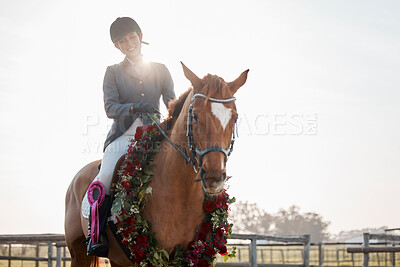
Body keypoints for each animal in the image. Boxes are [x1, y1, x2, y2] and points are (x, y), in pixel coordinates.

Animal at [64, 63, 248, 266]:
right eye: (195, 116)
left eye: (234, 118)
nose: (214, 177)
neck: (182, 195)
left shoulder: (197, 257)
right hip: (78, 253)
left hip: (117, 259)